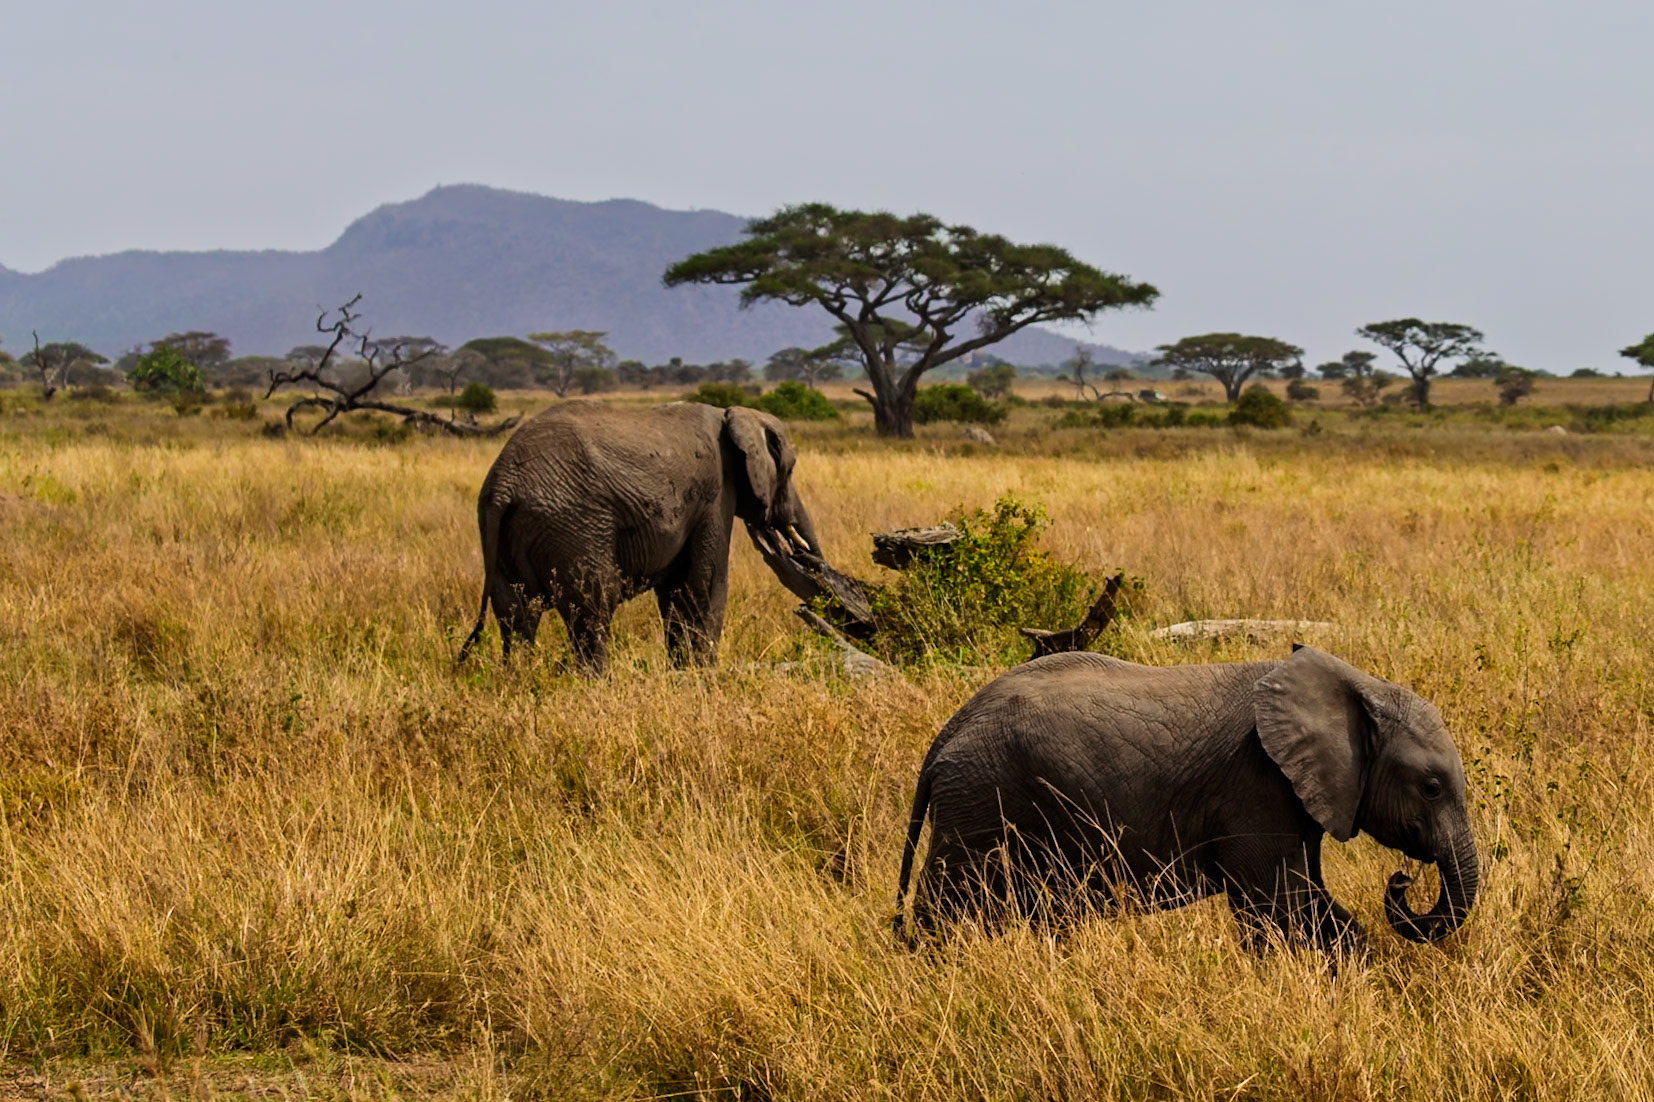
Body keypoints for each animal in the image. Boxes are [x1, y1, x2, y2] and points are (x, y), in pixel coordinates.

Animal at [458, 401, 823, 674]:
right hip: (574, 526)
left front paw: (681, 673)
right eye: (790, 469)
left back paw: (519, 678)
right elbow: (705, 584)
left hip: (503, 533)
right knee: (594, 607)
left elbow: (676, 590)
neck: (731, 414)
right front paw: (703, 676)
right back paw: (598, 685)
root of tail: (504, 482)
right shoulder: (716, 493)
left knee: (516, 615)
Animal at [892, 646, 1478, 955]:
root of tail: (947, 734)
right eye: (1431, 787)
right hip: (981, 799)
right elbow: (1281, 907)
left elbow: (1309, 901)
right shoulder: (1256, 785)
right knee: (950, 905)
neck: (1354, 686)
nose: (1401, 881)